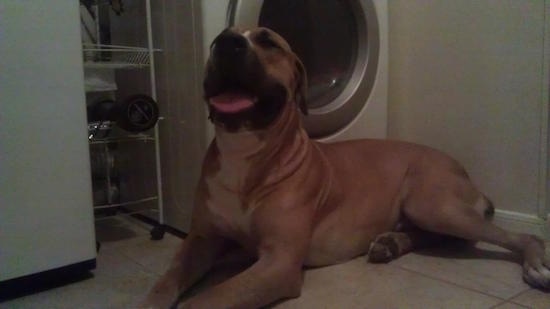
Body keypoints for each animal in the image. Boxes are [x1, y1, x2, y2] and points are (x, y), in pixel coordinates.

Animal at [143, 27, 550, 306]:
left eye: (268, 41)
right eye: (215, 40)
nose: (226, 42)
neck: (245, 152)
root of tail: (464, 172)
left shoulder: (278, 262)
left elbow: (208, 299)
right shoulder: (201, 240)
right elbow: (164, 282)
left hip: (433, 203)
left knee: (518, 236)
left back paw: (535, 264)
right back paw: (390, 243)